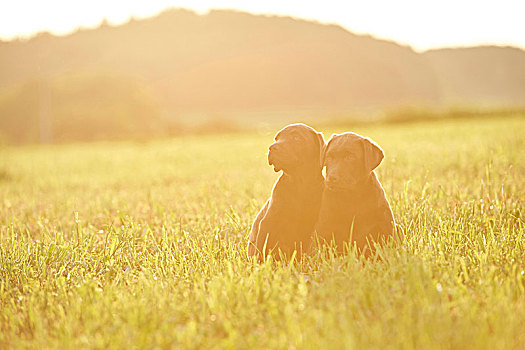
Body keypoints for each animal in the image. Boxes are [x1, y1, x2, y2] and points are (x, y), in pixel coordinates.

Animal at [246, 123, 324, 260]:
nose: (272, 148)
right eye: (276, 138)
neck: (300, 183)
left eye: (296, 137)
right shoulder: (267, 222)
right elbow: (261, 248)